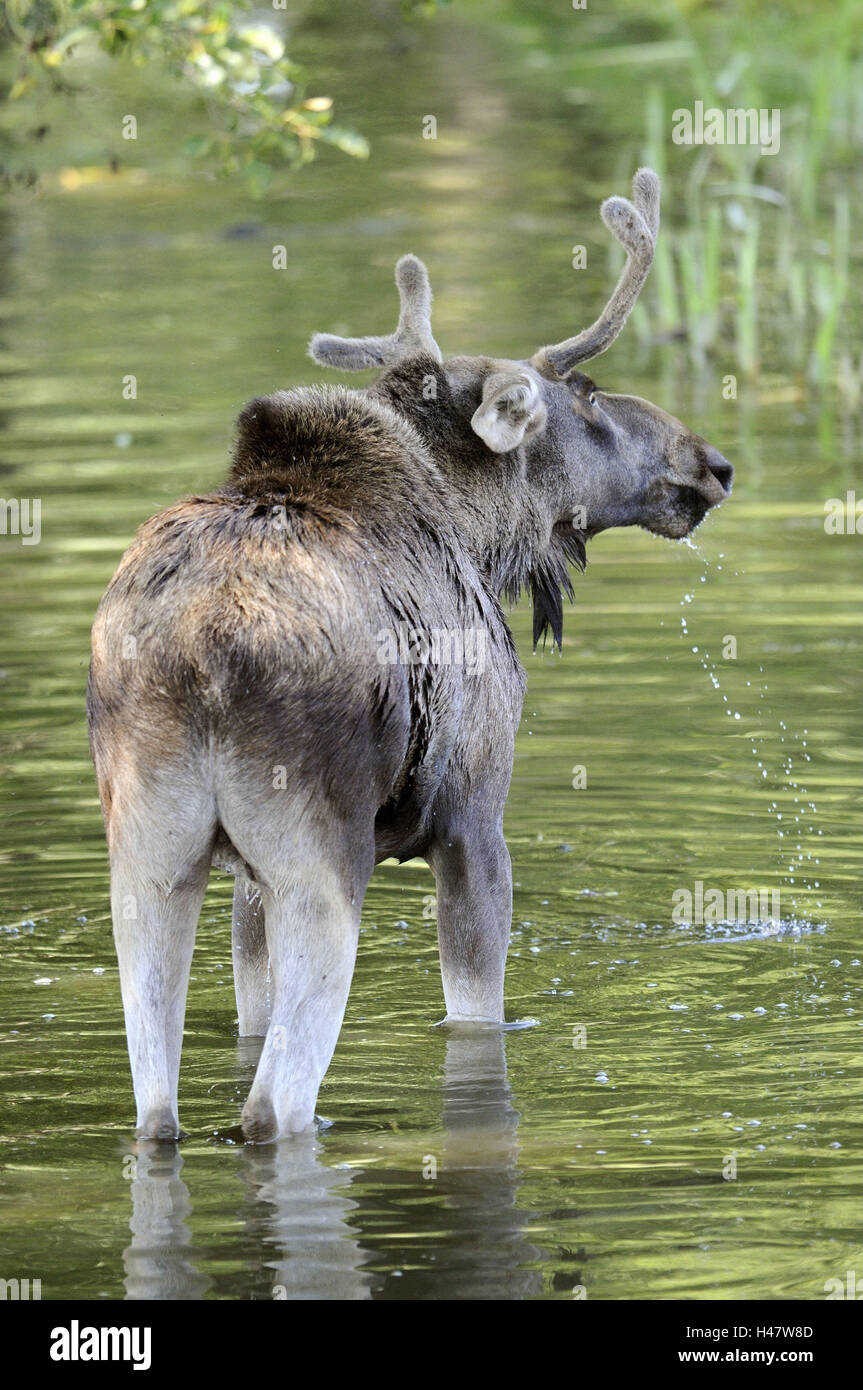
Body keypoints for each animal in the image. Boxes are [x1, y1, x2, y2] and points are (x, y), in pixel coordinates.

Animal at [87, 168, 728, 1139]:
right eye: (585, 392)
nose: (709, 463)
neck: (479, 531)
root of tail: (200, 656)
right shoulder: (474, 817)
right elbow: (474, 1019)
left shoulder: (243, 884)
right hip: (318, 856)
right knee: (273, 1105)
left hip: (148, 854)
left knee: (156, 1108)